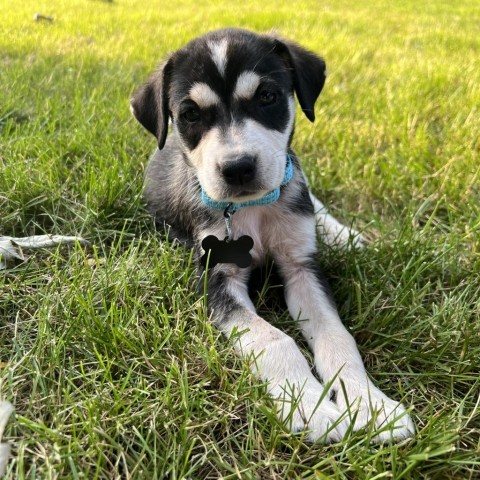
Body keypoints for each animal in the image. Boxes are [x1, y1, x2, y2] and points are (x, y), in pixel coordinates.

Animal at [130, 27, 412, 442]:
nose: (238, 168)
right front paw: (309, 406)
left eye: (267, 96)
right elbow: (274, 339)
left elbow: (338, 338)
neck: (254, 210)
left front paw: (371, 404)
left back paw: (343, 234)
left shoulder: (301, 268)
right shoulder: (216, 281)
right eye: (191, 114)